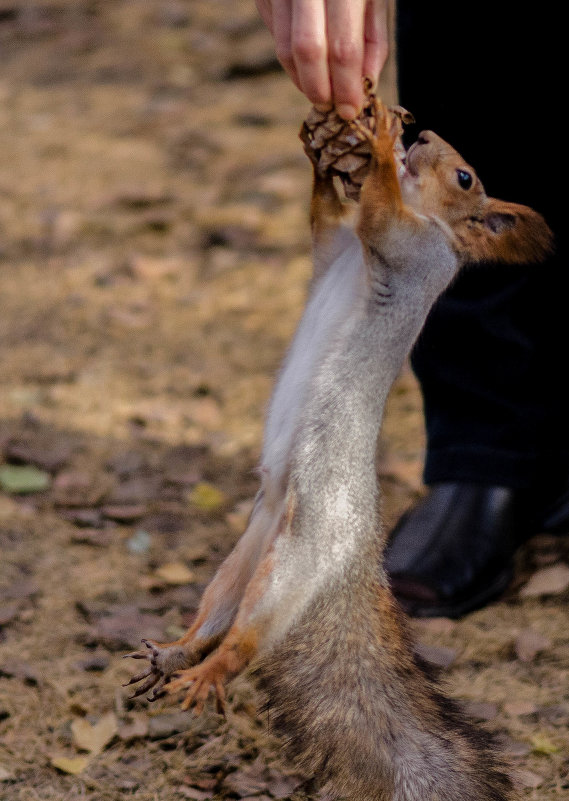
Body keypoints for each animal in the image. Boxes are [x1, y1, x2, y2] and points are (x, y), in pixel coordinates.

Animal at [124, 100, 552, 800]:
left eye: (465, 177)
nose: (423, 137)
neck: (429, 218)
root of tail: (358, 554)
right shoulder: (334, 246)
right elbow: (325, 218)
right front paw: (321, 149)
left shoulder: (410, 249)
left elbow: (377, 210)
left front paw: (375, 146)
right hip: (246, 555)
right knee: (221, 613)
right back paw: (180, 653)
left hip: (303, 545)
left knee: (253, 636)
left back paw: (214, 669)